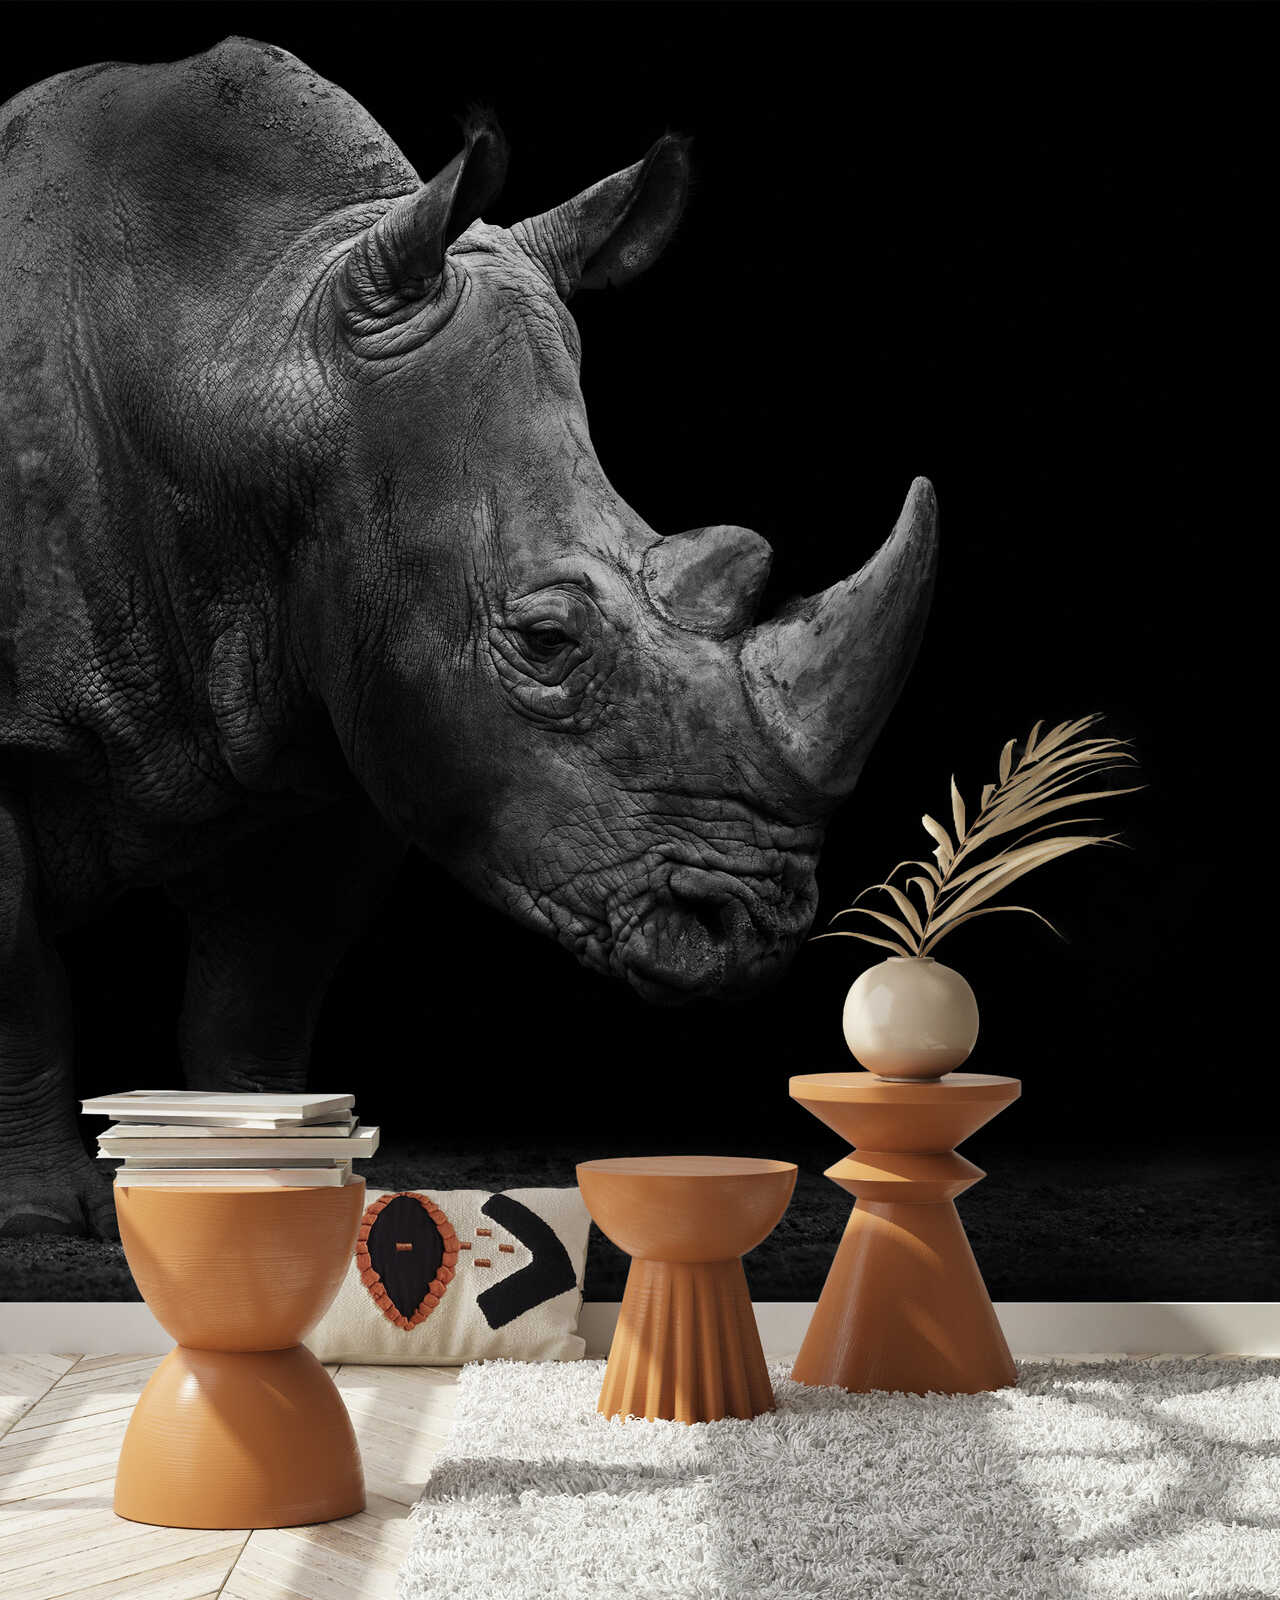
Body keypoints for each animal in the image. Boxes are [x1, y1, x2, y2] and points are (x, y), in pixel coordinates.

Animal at [0, 39, 936, 1238]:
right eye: (544, 642)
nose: (751, 930)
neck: (244, 339)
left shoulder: (341, 710)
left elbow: (259, 996)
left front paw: (265, 1179)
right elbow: (21, 983)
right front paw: (37, 1218)